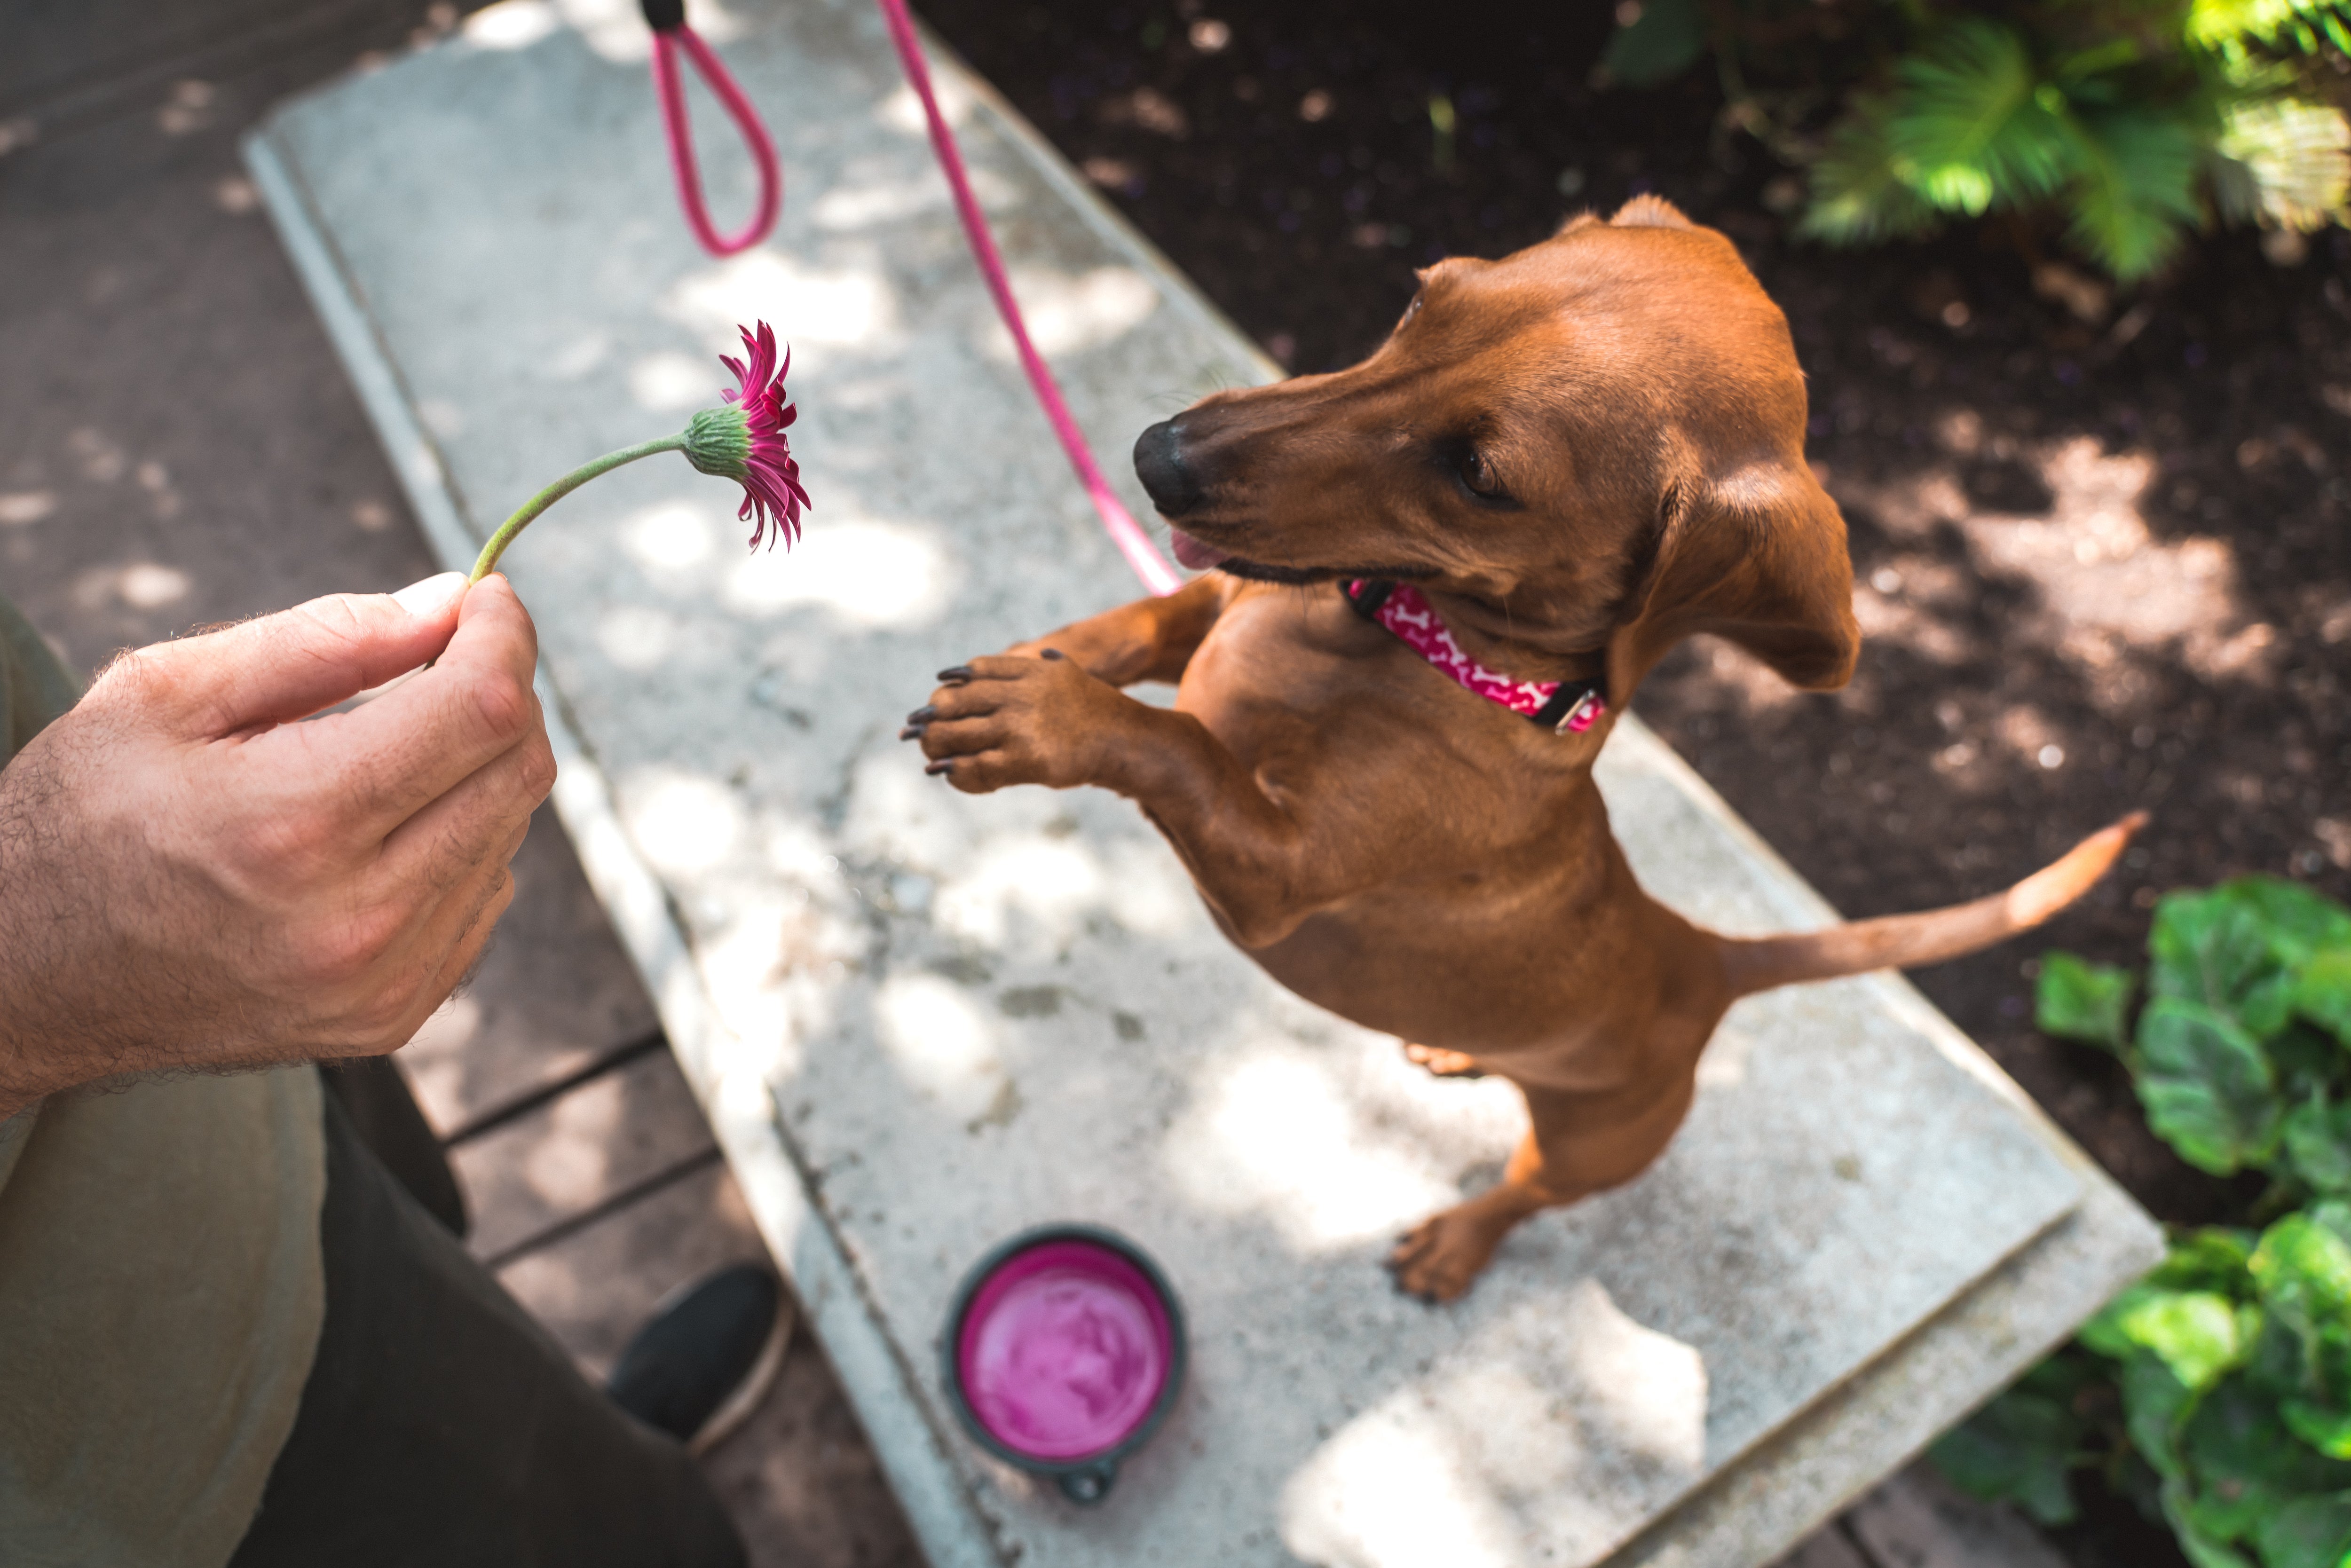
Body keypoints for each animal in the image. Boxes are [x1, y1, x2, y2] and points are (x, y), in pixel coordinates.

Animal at [893, 196, 2135, 1298]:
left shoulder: (1271, 874)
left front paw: (1047, 720)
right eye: (1418, 298)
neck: (1410, 642)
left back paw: (1456, 1242)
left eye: (1480, 476)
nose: (1159, 457)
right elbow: (1138, 627)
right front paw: (1032, 667)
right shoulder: (1207, 612)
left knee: (1524, 1193)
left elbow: (1175, 745)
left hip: (1589, 1145)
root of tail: (1702, 956)